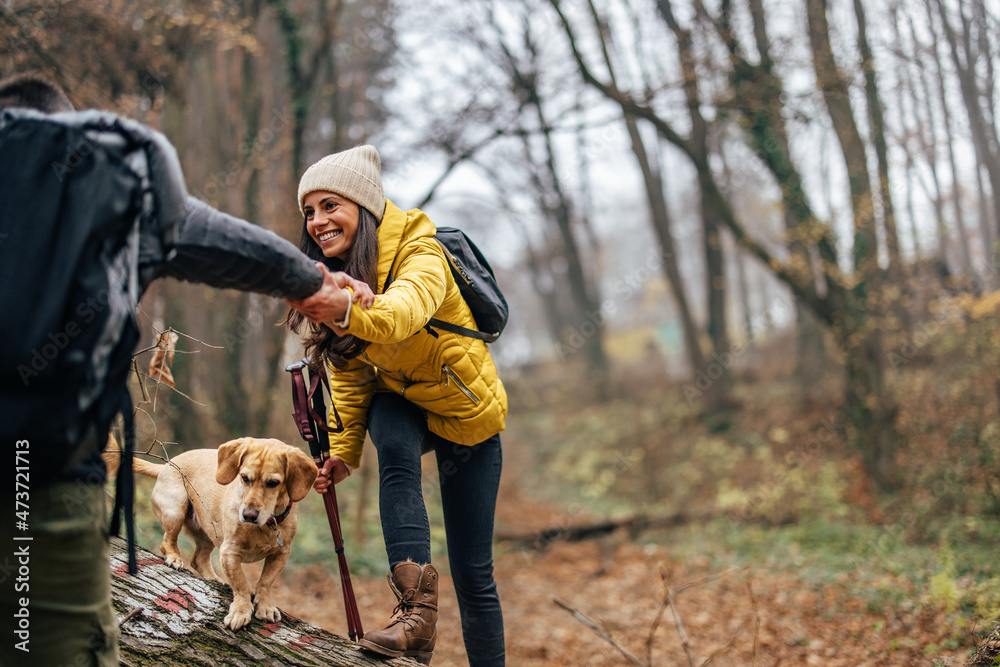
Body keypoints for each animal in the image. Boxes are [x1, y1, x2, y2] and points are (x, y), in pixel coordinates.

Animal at [122, 438, 314, 632]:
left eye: (273, 482)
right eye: (244, 478)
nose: (248, 515)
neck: (267, 524)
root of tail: (166, 465)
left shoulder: (281, 554)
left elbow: (266, 582)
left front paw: (265, 606)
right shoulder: (229, 553)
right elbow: (241, 585)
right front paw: (240, 612)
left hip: (208, 532)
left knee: (198, 559)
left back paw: (214, 579)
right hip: (175, 511)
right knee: (167, 542)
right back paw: (174, 558)